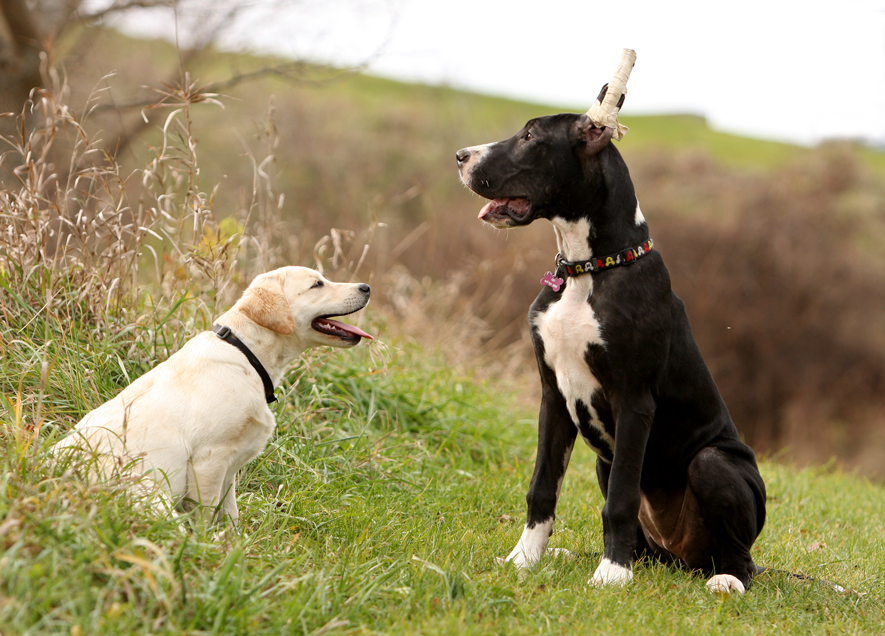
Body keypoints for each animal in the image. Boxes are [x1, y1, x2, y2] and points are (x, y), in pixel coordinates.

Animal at [456, 113, 768, 592]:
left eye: (530, 137)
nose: (460, 156)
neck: (588, 269)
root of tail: (683, 558)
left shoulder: (633, 401)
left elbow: (621, 499)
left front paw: (612, 574)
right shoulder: (554, 398)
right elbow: (542, 488)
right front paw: (524, 559)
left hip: (713, 463)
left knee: (740, 554)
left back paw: (726, 579)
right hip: (605, 462)